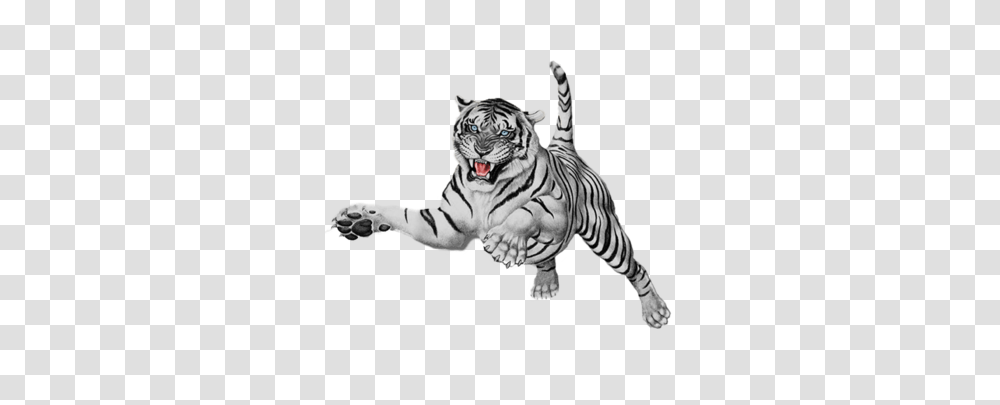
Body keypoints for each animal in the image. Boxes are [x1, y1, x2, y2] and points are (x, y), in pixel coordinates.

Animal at [332, 62, 671, 328]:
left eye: (505, 133)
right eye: (472, 127)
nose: (482, 150)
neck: (486, 191)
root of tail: (564, 149)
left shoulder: (556, 207)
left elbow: (527, 211)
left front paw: (504, 243)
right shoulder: (445, 227)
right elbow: (402, 214)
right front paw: (358, 218)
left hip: (607, 236)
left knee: (635, 268)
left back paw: (655, 310)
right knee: (547, 258)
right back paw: (546, 284)